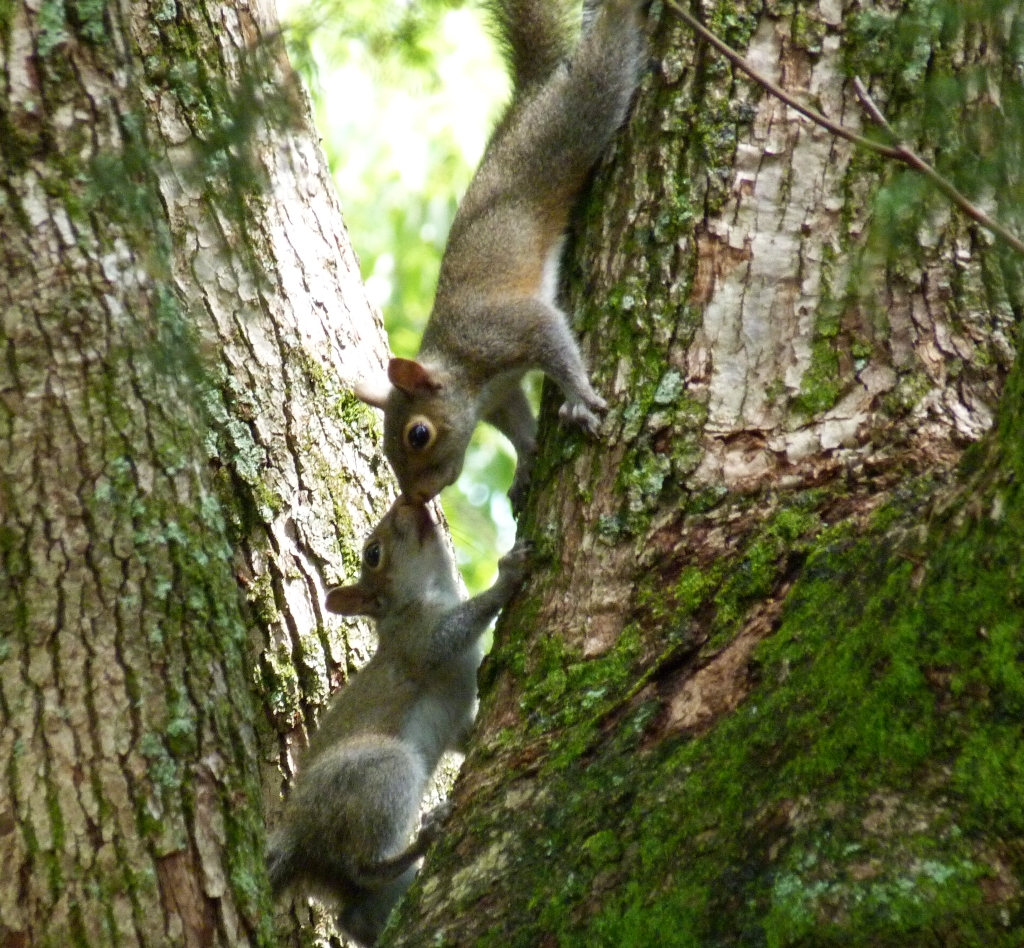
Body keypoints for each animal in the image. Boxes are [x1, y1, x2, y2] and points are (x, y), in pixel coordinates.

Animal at [267, 497, 530, 946]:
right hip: (379, 769)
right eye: (373, 554)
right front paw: (506, 576)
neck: (428, 593)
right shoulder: (418, 641)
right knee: (364, 867)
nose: (409, 503)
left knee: (355, 912)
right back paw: (425, 835)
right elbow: (449, 632)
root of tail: (298, 839)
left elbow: (465, 735)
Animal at [356, 0, 647, 504]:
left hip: (569, 124)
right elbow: (518, 425)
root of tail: (529, 97)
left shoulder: (505, 330)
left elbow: (553, 339)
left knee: (602, 70)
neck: (464, 371)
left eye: (418, 434)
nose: (417, 498)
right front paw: (528, 460)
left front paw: (579, 397)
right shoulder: (502, 397)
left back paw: (620, 12)